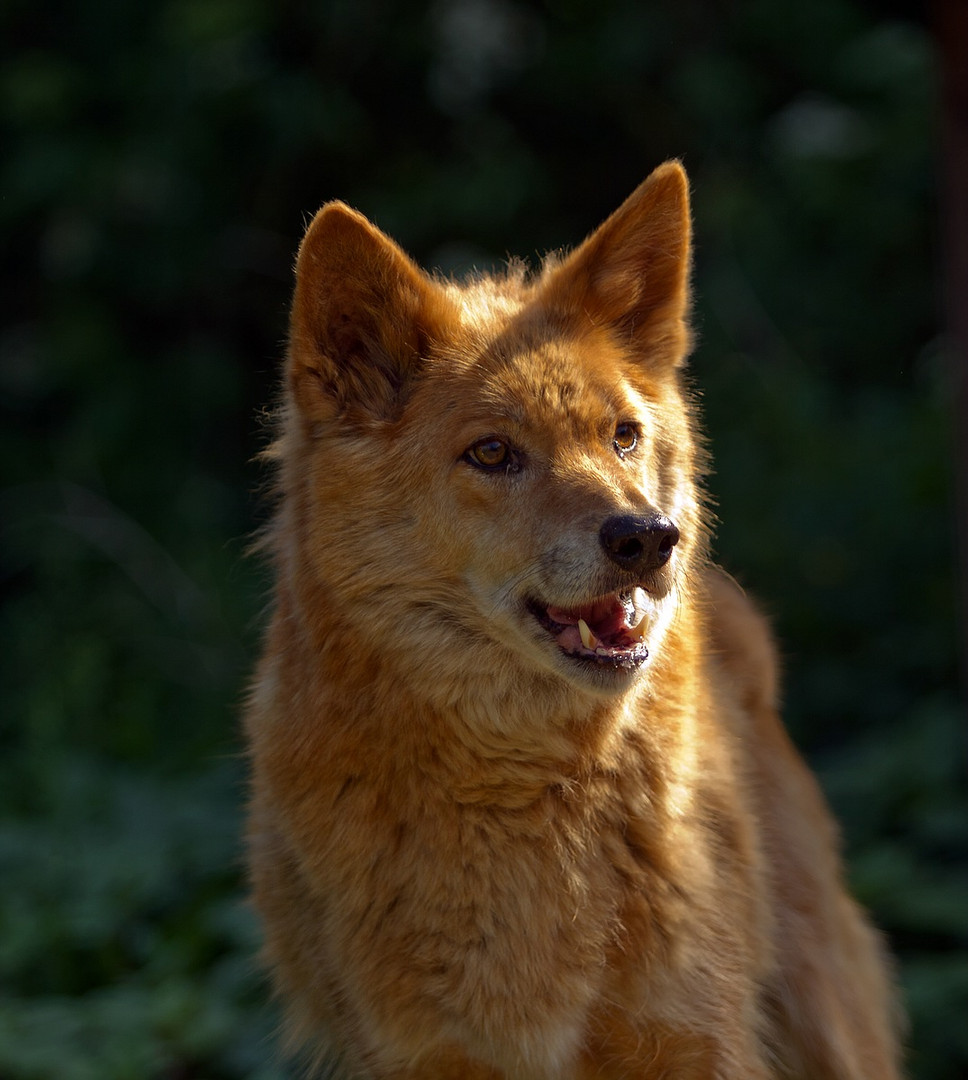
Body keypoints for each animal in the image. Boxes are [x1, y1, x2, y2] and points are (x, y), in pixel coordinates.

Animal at [246, 162, 903, 1080]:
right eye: (492, 452)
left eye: (623, 435)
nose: (650, 538)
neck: (527, 795)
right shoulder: (423, 1056)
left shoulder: (695, 1040)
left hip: (825, 1016)